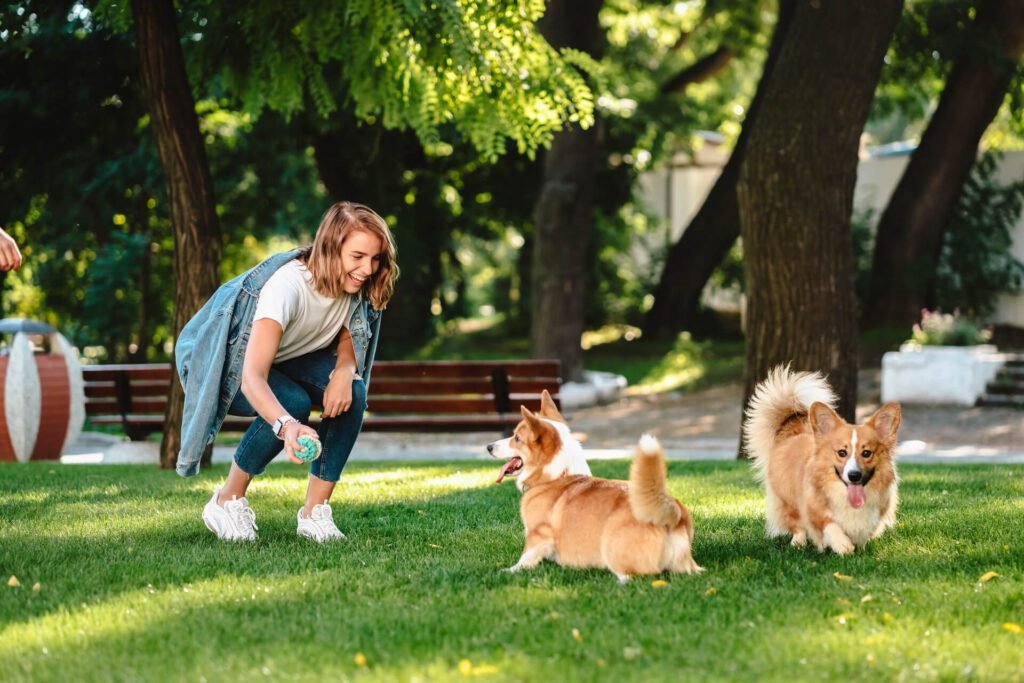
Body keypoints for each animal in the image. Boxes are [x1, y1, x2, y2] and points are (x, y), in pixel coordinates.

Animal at [485, 393, 696, 585]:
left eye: (517, 438)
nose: (488, 446)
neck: (556, 476)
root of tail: (671, 512)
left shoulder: (538, 534)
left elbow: (525, 557)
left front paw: (508, 571)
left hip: (613, 547)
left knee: (634, 577)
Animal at [741, 368, 901, 557]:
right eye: (842, 452)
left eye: (866, 453)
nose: (854, 476)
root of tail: (791, 432)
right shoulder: (814, 509)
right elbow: (829, 525)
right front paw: (843, 546)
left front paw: (859, 548)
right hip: (787, 499)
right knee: (796, 525)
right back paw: (798, 544)